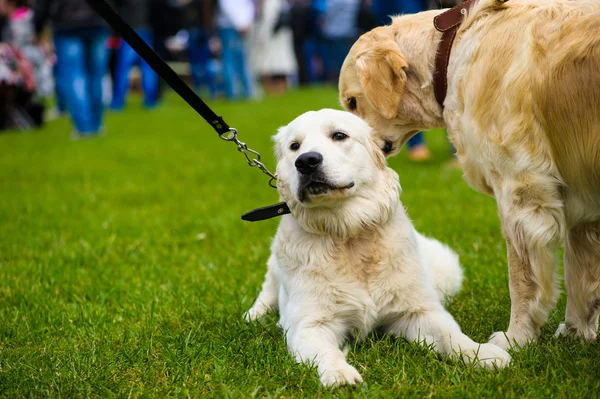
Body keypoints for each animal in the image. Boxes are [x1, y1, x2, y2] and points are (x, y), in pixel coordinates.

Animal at [244, 109, 510, 388]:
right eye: (294, 146)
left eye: (339, 135)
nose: (306, 161)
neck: (348, 234)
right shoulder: (310, 324)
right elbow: (325, 351)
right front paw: (339, 374)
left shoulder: (419, 312)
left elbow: (451, 336)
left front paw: (483, 354)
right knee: (267, 293)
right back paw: (255, 315)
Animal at [340, 0, 600, 350]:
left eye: (352, 102)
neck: (451, 50)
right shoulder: (584, 198)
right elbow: (581, 275)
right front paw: (577, 332)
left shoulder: (520, 190)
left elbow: (523, 280)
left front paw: (516, 338)